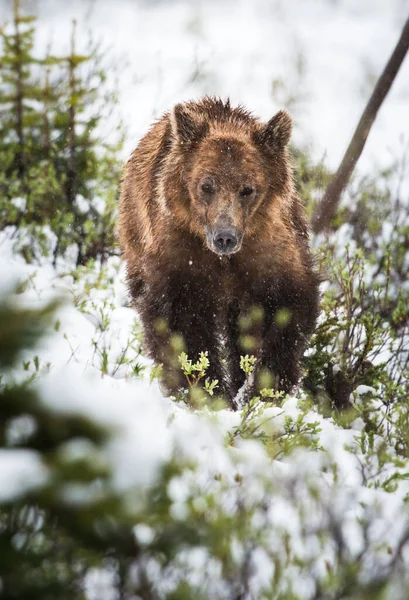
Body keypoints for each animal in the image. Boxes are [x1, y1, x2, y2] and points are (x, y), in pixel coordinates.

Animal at [118, 97, 318, 408]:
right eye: (206, 185)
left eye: (247, 189)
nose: (225, 236)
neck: (224, 261)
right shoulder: (180, 254)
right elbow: (180, 322)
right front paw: (206, 389)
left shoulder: (269, 248)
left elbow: (285, 307)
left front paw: (266, 387)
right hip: (135, 233)